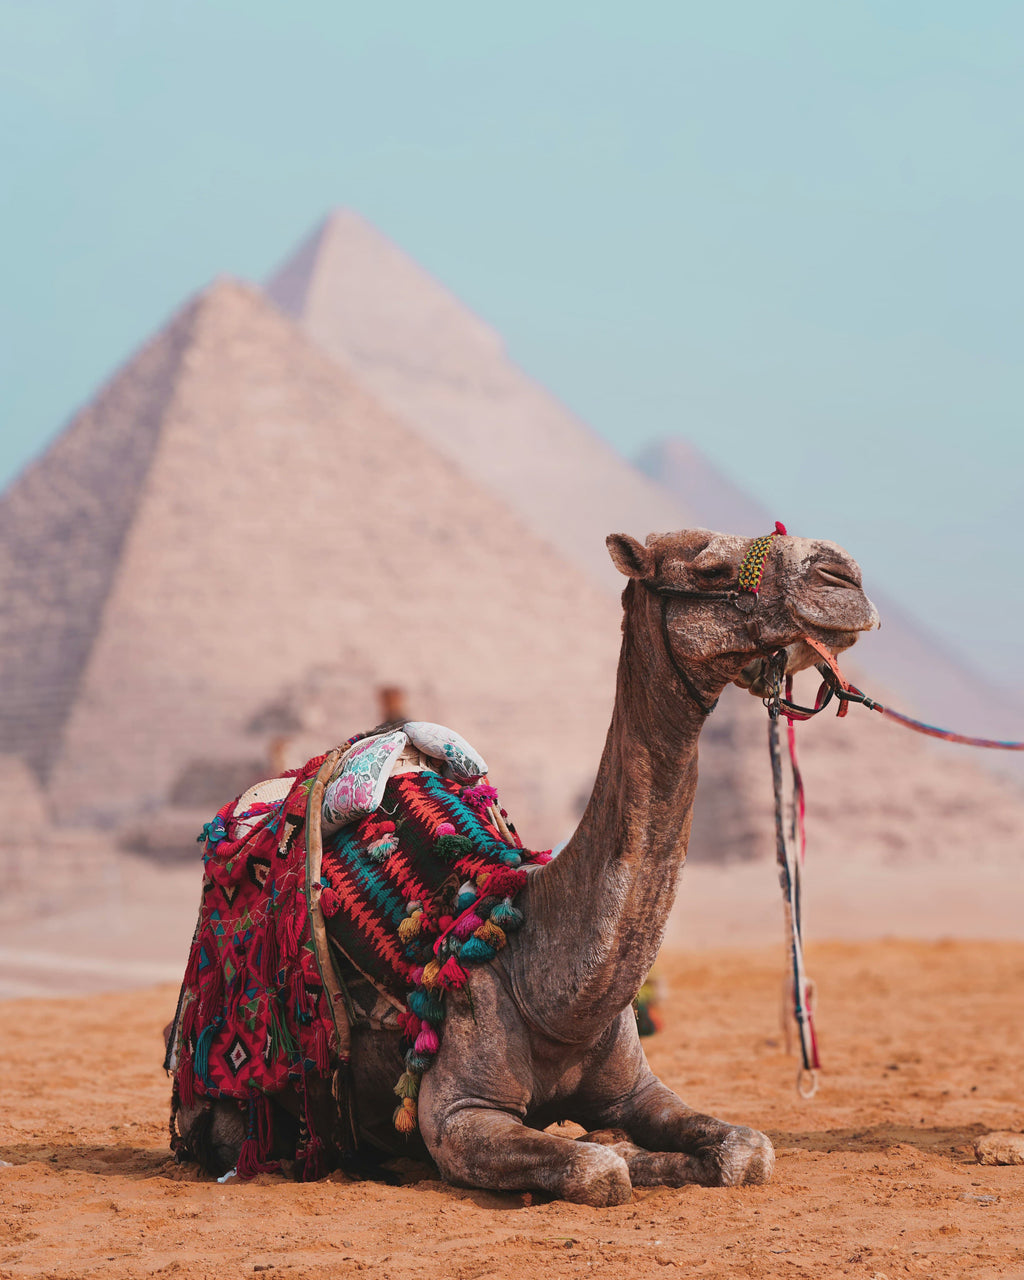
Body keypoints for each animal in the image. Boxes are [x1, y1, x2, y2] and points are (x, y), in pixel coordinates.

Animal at [176, 527, 878, 1205]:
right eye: (710, 568)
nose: (843, 576)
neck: (543, 979)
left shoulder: (638, 1090)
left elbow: (748, 1151)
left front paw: (645, 1146)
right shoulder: (460, 1116)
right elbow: (598, 1169)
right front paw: (617, 1152)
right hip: (224, 1109)